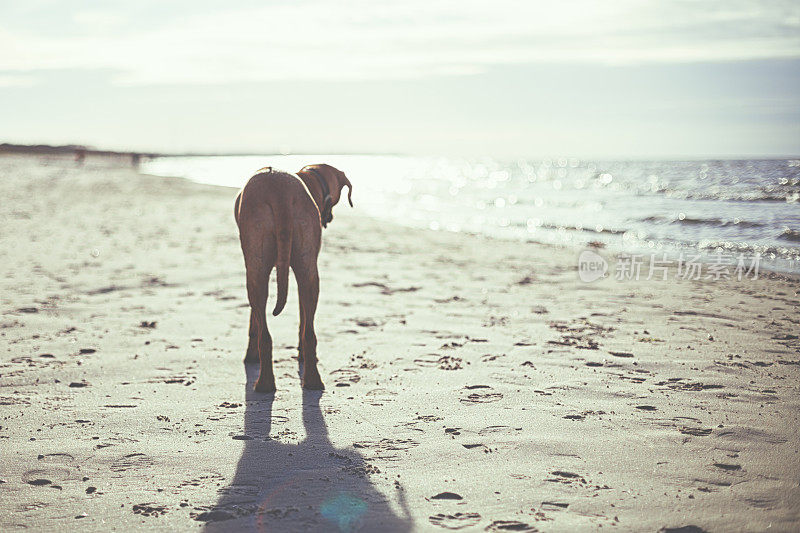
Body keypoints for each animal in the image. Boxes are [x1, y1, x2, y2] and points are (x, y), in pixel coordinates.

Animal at [234, 162, 354, 390]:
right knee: (308, 332)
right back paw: (311, 380)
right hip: (307, 265)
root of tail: (279, 191)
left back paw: (264, 384)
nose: (329, 217)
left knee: (266, 331)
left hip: (257, 263)